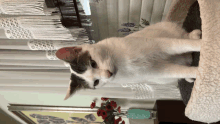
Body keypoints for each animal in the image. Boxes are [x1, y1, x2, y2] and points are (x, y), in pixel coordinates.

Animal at [55, 21, 202, 100]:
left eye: (93, 63)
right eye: (96, 82)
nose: (109, 74)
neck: (121, 63)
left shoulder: (161, 45)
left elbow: (183, 45)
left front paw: (204, 45)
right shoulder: (157, 71)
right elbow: (180, 71)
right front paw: (197, 73)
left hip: (166, 29)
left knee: (184, 37)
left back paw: (195, 35)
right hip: (163, 79)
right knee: (183, 67)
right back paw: (189, 75)